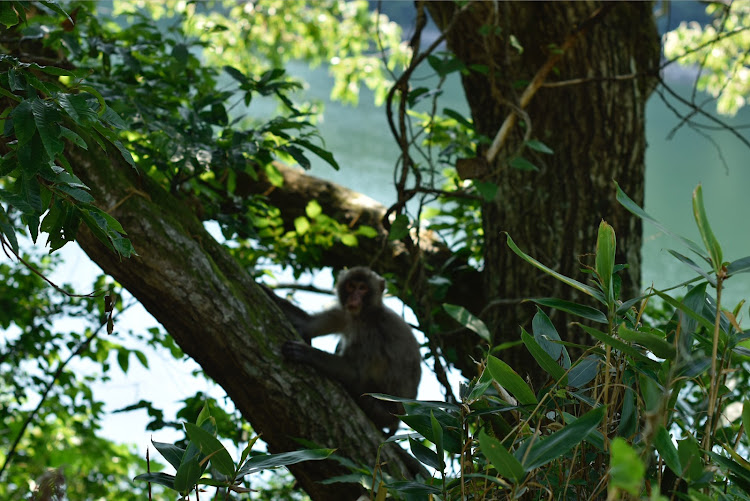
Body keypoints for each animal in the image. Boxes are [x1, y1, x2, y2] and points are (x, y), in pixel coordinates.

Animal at [270, 266, 424, 434]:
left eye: (362, 288)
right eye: (351, 286)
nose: (354, 298)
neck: (362, 315)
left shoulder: (369, 334)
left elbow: (356, 373)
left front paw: (306, 353)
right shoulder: (344, 315)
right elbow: (306, 324)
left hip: (387, 412)